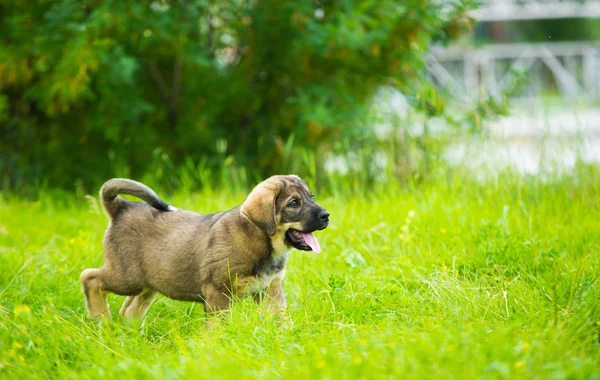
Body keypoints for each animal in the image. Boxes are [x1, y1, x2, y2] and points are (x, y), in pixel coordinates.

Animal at [79, 174, 328, 326]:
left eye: (311, 197)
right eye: (294, 203)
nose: (326, 215)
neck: (262, 242)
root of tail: (122, 207)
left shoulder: (271, 291)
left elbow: (280, 321)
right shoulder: (218, 293)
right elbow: (217, 328)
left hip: (149, 283)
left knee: (129, 311)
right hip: (127, 276)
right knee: (90, 278)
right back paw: (101, 319)